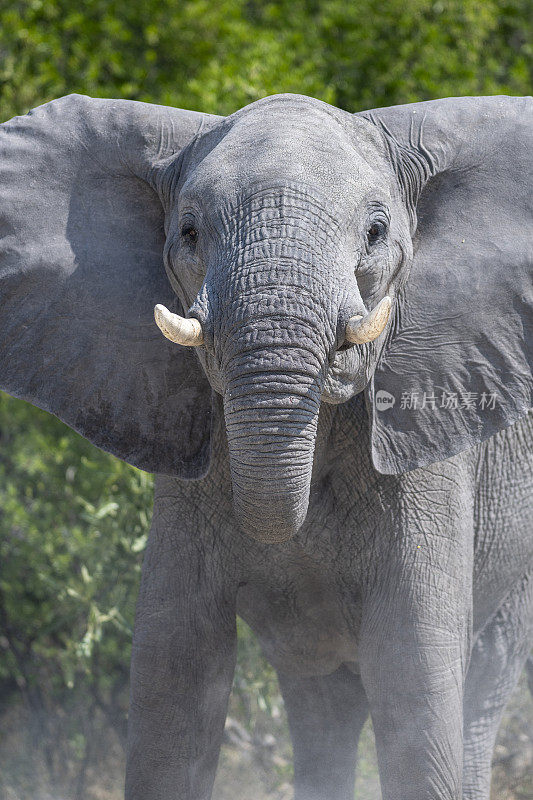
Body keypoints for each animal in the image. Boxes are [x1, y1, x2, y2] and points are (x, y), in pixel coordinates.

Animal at [0, 94, 528, 800]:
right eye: (189, 231)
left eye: (376, 232)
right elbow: (174, 679)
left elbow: (416, 687)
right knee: (322, 703)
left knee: (480, 682)